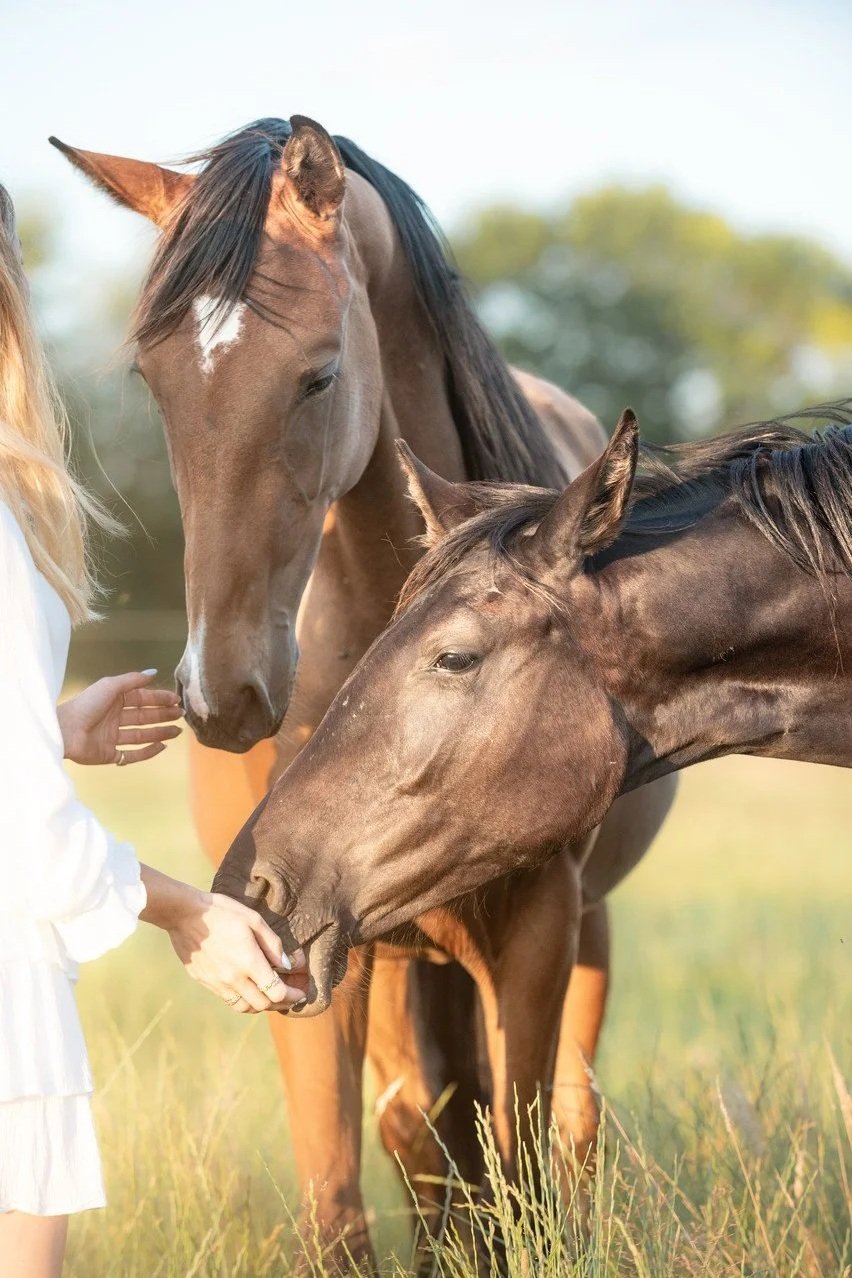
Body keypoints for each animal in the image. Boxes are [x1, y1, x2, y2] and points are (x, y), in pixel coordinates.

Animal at [54, 117, 677, 1267]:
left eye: (318, 377)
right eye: (155, 384)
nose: (223, 695)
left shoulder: (538, 927)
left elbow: (522, 1160)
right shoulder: (291, 938)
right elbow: (351, 1191)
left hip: (571, 935)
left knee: (560, 1125)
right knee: (427, 1129)